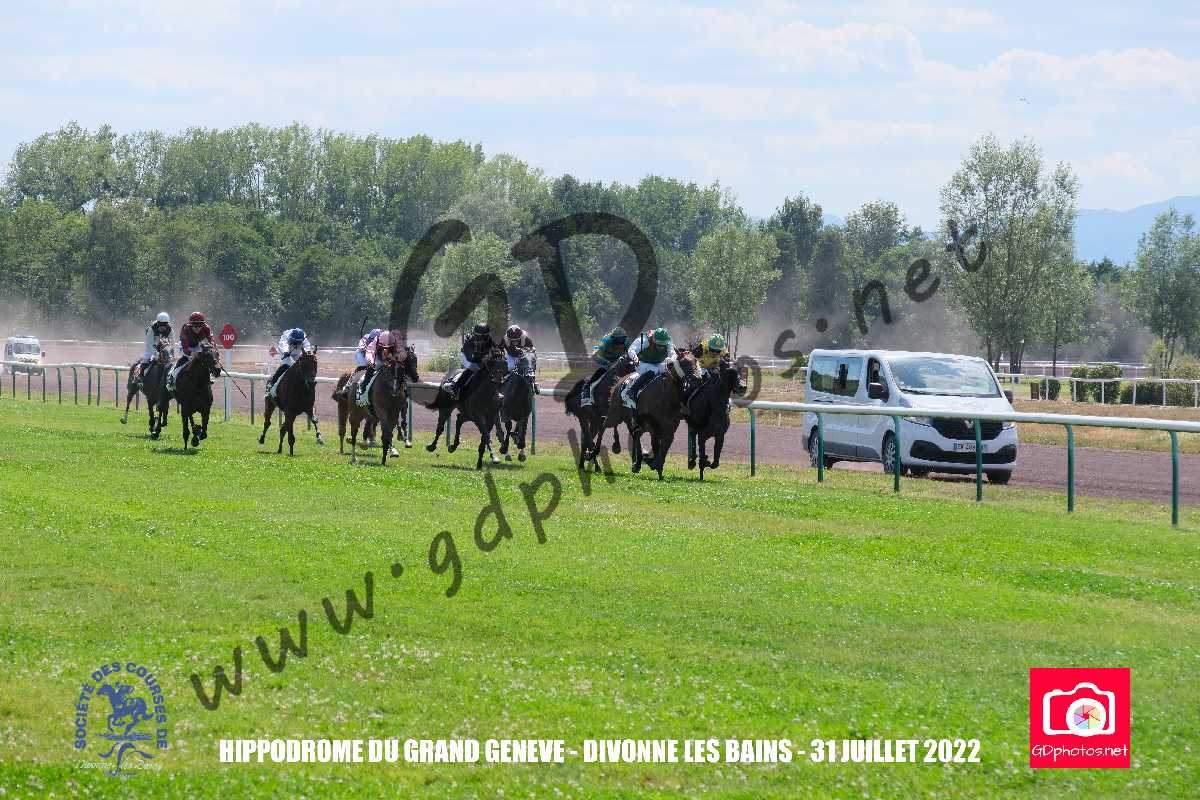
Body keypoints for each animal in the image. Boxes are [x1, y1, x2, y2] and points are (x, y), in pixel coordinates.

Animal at [604, 348, 699, 479]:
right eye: (684, 362)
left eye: (695, 360)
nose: (698, 378)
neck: (665, 394)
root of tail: (620, 380)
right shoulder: (653, 426)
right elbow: (656, 445)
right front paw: (653, 464)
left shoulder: (669, 428)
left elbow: (664, 446)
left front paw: (656, 466)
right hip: (615, 414)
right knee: (604, 427)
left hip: (634, 421)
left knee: (635, 434)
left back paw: (637, 463)